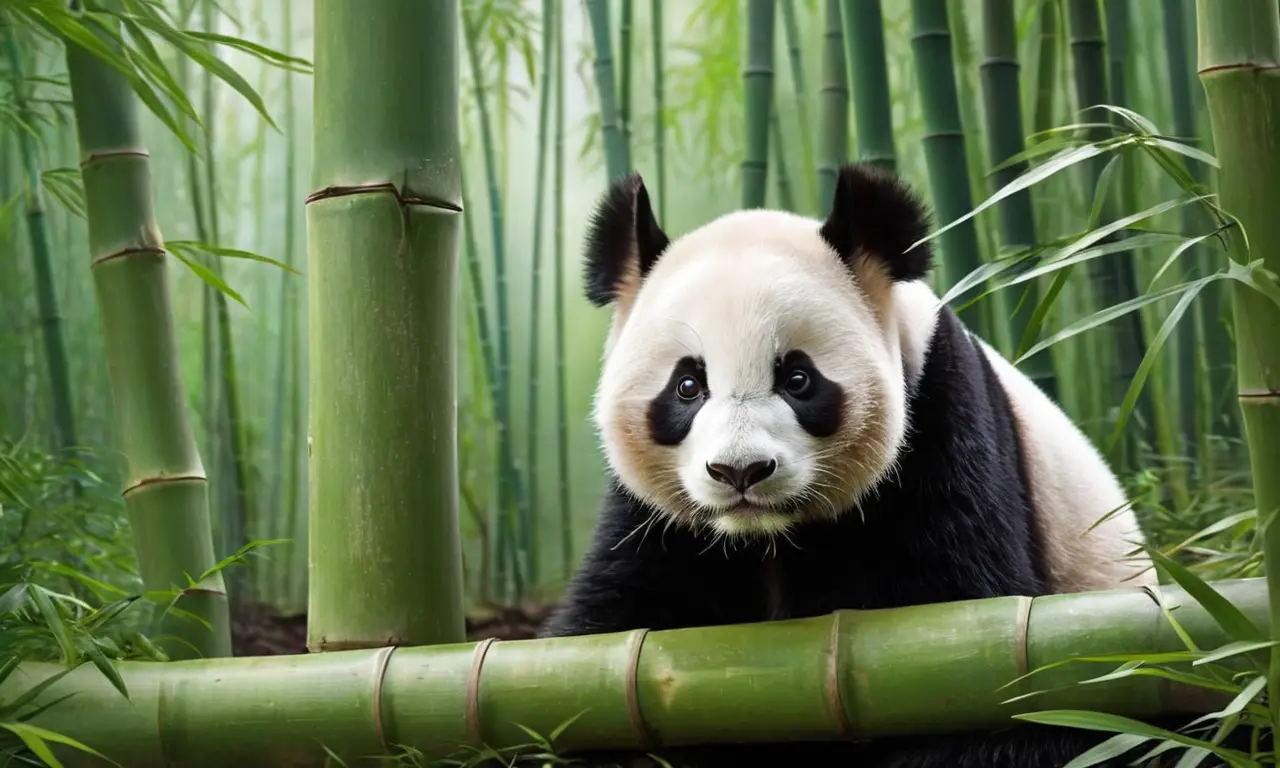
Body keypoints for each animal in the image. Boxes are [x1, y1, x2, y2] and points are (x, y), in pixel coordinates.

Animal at [537, 162, 1167, 767]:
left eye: (798, 378)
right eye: (688, 385)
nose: (741, 472)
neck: (769, 537)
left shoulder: (943, 425)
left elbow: (976, 663)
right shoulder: (654, 526)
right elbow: (614, 632)